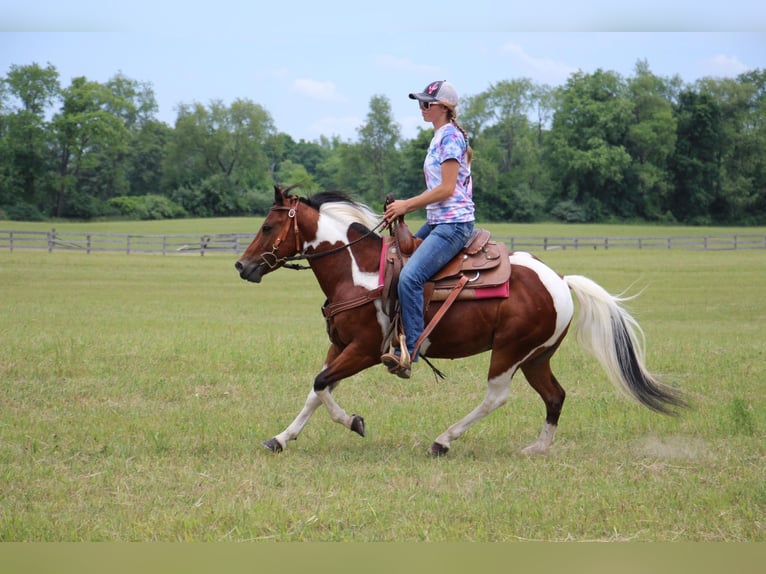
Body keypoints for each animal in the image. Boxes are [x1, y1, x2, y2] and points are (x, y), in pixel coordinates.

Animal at [236, 187, 688, 456]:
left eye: (268, 226)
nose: (242, 266)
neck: (357, 273)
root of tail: (560, 280)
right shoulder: (340, 346)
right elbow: (318, 389)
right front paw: (282, 437)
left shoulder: (365, 350)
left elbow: (320, 384)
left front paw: (354, 422)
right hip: (537, 357)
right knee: (555, 395)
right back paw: (537, 449)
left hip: (509, 351)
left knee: (496, 397)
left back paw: (443, 440)